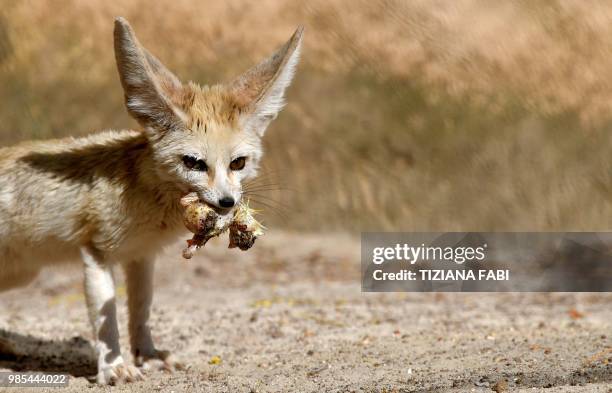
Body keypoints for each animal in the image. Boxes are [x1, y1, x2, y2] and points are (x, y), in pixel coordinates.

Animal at [0, 17, 304, 382]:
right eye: (193, 163)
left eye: (238, 163)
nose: (227, 203)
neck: (147, 199)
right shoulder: (96, 252)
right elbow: (106, 322)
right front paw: (114, 367)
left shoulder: (142, 255)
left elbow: (141, 311)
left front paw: (148, 355)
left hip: (21, 274)